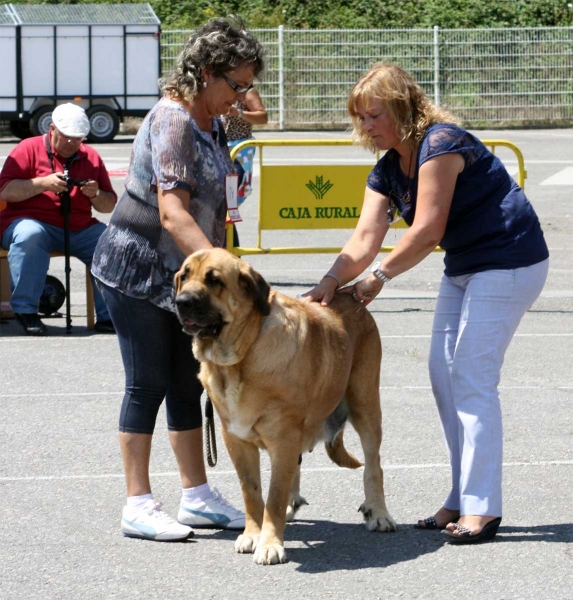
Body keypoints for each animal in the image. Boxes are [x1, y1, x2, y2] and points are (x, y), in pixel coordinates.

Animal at [174, 247, 396, 564]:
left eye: (214, 280)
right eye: (184, 276)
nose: (181, 302)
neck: (239, 360)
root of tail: (351, 298)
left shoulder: (283, 436)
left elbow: (274, 496)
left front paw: (269, 545)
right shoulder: (237, 440)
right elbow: (252, 491)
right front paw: (252, 536)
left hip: (365, 405)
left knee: (373, 464)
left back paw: (378, 513)